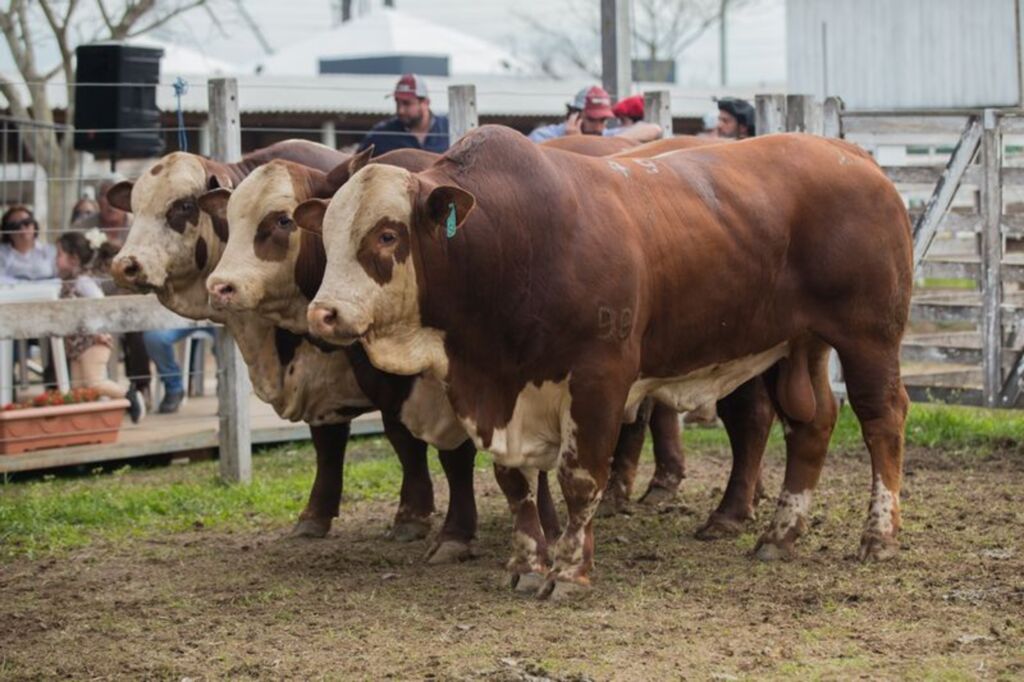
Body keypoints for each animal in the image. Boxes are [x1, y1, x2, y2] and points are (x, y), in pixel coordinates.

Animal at [105, 137, 481, 552]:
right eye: (135, 206)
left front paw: (424, 520)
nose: (125, 265)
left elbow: (437, 446)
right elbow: (333, 445)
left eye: (183, 206)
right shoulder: (331, 382)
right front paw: (317, 515)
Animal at [301, 125, 913, 593]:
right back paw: (780, 534)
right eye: (326, 236)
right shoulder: (500, 393)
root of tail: (852, 155)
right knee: (812, 424)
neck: (514, 244)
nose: (323, 314)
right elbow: (514, 483)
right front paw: (527, 565)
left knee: (881, 419)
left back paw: (878, 536)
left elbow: (580, 479)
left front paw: (570, 571)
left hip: (869, 338)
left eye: (386, 234)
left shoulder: (599, 380)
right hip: (800, 343)